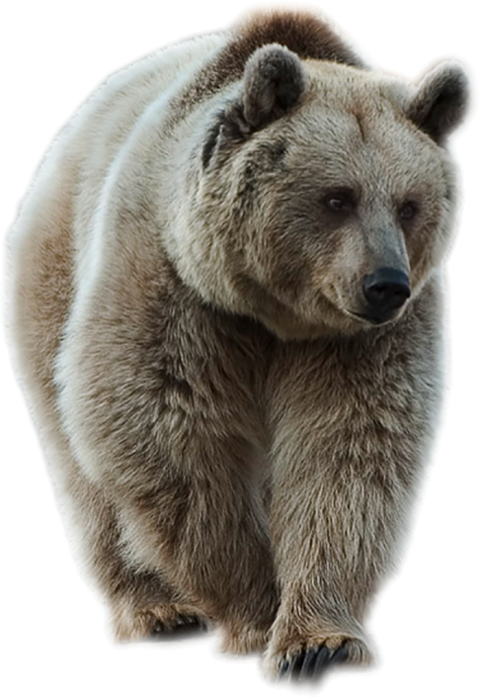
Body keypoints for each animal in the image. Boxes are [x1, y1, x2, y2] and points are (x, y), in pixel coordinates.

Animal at [2, 2, 476, 690]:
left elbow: (350, 450)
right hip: (53, 277)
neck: (275, 312)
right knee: (83, 472)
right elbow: (171, 435)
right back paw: (155, 609)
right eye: (337, 197)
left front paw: (318, 642)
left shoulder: (362, 340)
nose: (384, 284)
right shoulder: (177, 288)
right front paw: (253, 617)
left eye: (409, 204)